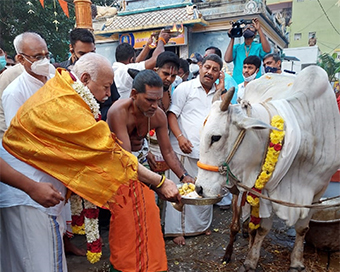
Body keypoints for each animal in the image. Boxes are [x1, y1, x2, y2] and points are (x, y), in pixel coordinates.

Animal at [194, 66, 340, 272]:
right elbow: (263, 228)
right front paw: (250, 261)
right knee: (238, 217)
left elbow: (302, 228)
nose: (199, 188)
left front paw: (296, 261)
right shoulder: (267, 191)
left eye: (215, 137)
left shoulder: (318, 191)